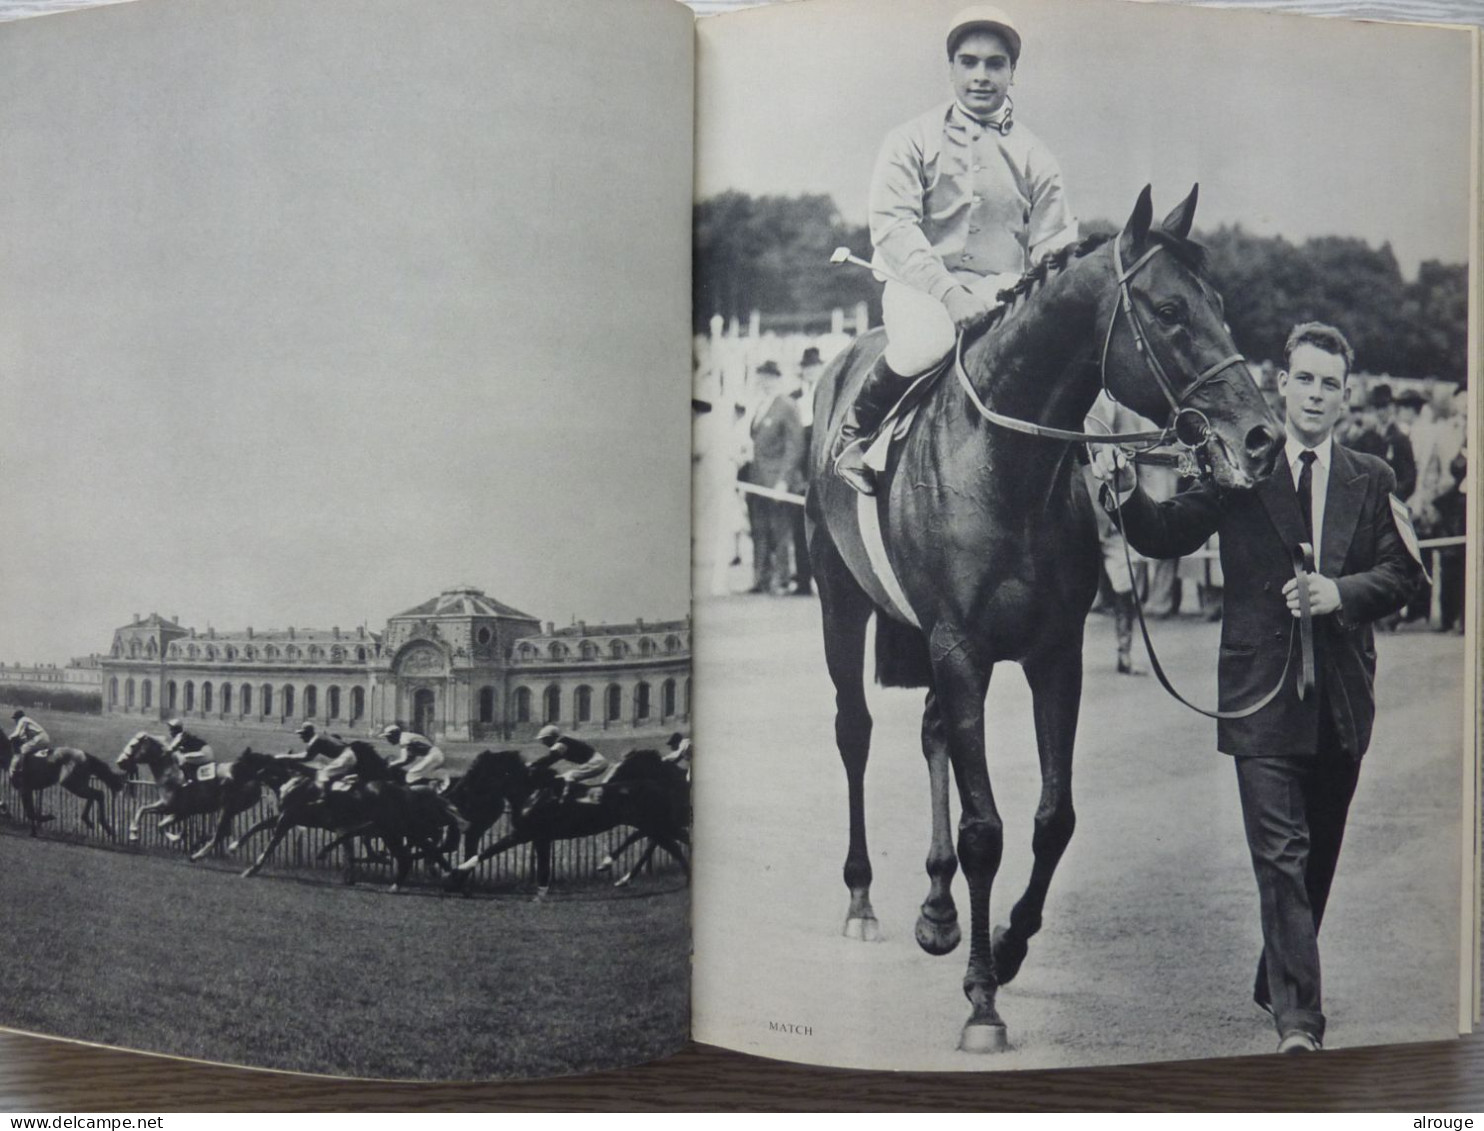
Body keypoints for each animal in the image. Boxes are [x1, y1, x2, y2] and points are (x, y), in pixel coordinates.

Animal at [114, 727, 265, 848]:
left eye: (133, 745)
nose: (120, 762)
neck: (170, 771)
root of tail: (255, 777)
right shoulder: (176, 810)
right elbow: (151, 817)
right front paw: (176, 837)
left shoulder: (171, 807)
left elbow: (149, 815)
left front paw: (134, 834)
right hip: (229, 810)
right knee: (224, 832)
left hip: (230, 808)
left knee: (224, 832)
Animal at [451, 745, 688, 896]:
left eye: (477, 769)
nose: (458, 789)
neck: (531, 793)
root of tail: (657, 785)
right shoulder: (540, 838)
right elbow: (543, 868)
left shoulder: (524, 834)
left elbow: (486, 852)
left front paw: (453, 875)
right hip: (656, 825)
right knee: (673, 844)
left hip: (656, 824)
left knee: (675, 844)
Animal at [807, 184, 1282, 1050]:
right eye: (1170, 308)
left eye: (1223, 306)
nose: (1261, 436)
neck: (1001, 464)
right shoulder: (961, 649)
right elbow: (985, 827)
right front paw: (981, 999)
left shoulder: (1050, 652)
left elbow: (1052, 818)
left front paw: (1005, 944)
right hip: (839, 599)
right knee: (853, 731)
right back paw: (862, 896)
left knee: (930, 731)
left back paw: (937, 908)